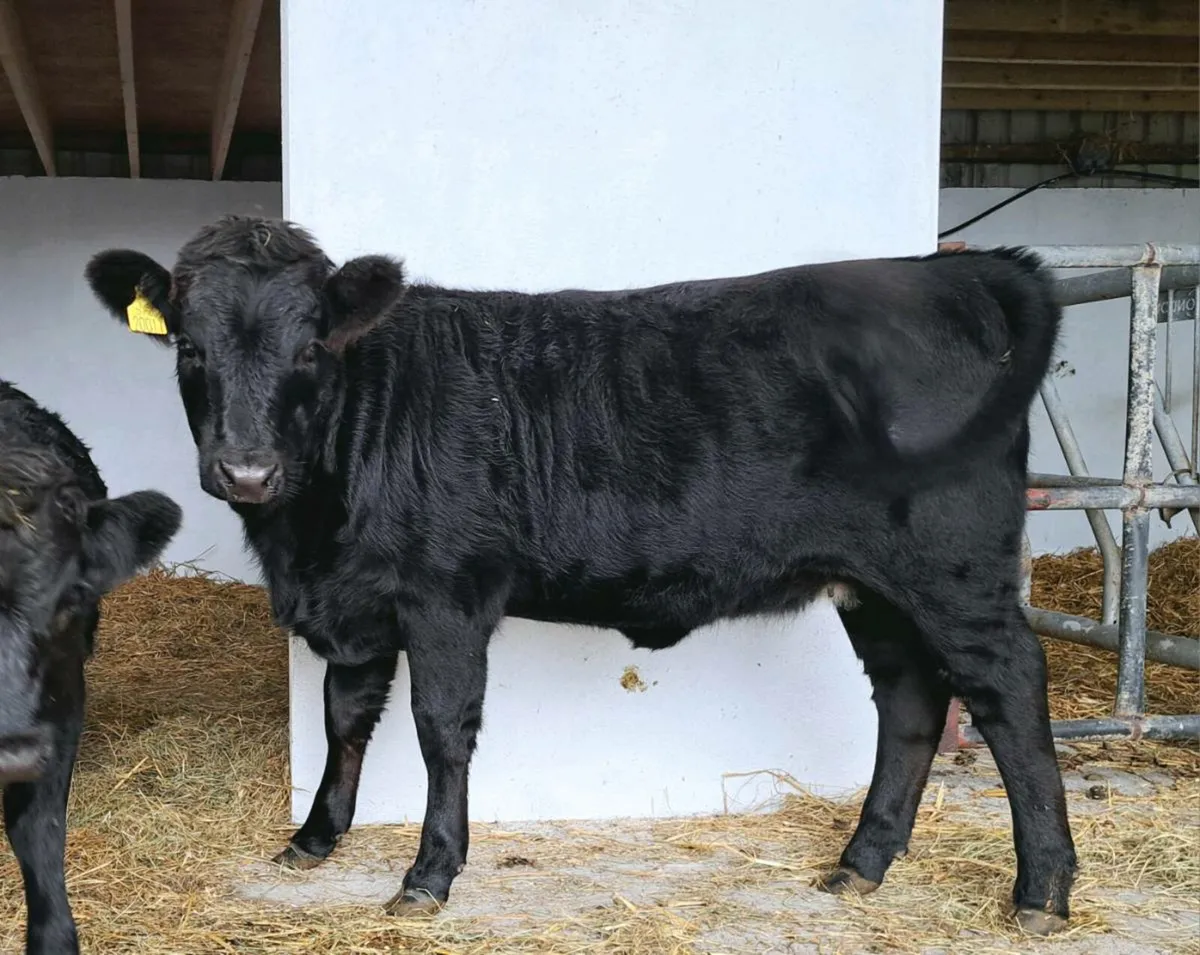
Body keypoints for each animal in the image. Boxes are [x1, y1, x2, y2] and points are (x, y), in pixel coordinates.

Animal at [84, 215, 1075, 935]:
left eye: (310, 348)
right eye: (190, 349)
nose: (246, 470)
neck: (307, 535)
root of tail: (956, 272)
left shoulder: (446, 594)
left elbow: (441, 730)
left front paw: (429, 873)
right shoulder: (357, 601)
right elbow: (345, 717)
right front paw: (316, 837)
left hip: (955, 570)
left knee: (1010, 690)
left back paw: (1041, 891)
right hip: (874, 586)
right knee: (910, 698)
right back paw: (860, 864)